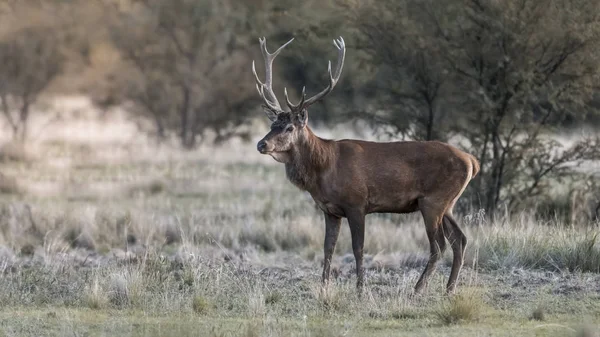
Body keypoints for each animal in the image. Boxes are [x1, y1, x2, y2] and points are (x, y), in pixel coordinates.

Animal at [251, 36, 480, 294]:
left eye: (289, 128)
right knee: (460, 239)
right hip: (448, 204)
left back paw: (418, 289)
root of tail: (472, 161)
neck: (325, 169)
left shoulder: (357, 203)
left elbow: (358, 248)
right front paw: (324, 287)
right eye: (273, 125)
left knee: (438, 245)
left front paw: (360, 289)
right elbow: (328, 249)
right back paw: (449, 289)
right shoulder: (329, 210)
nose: (261, 144)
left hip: (433, 201)